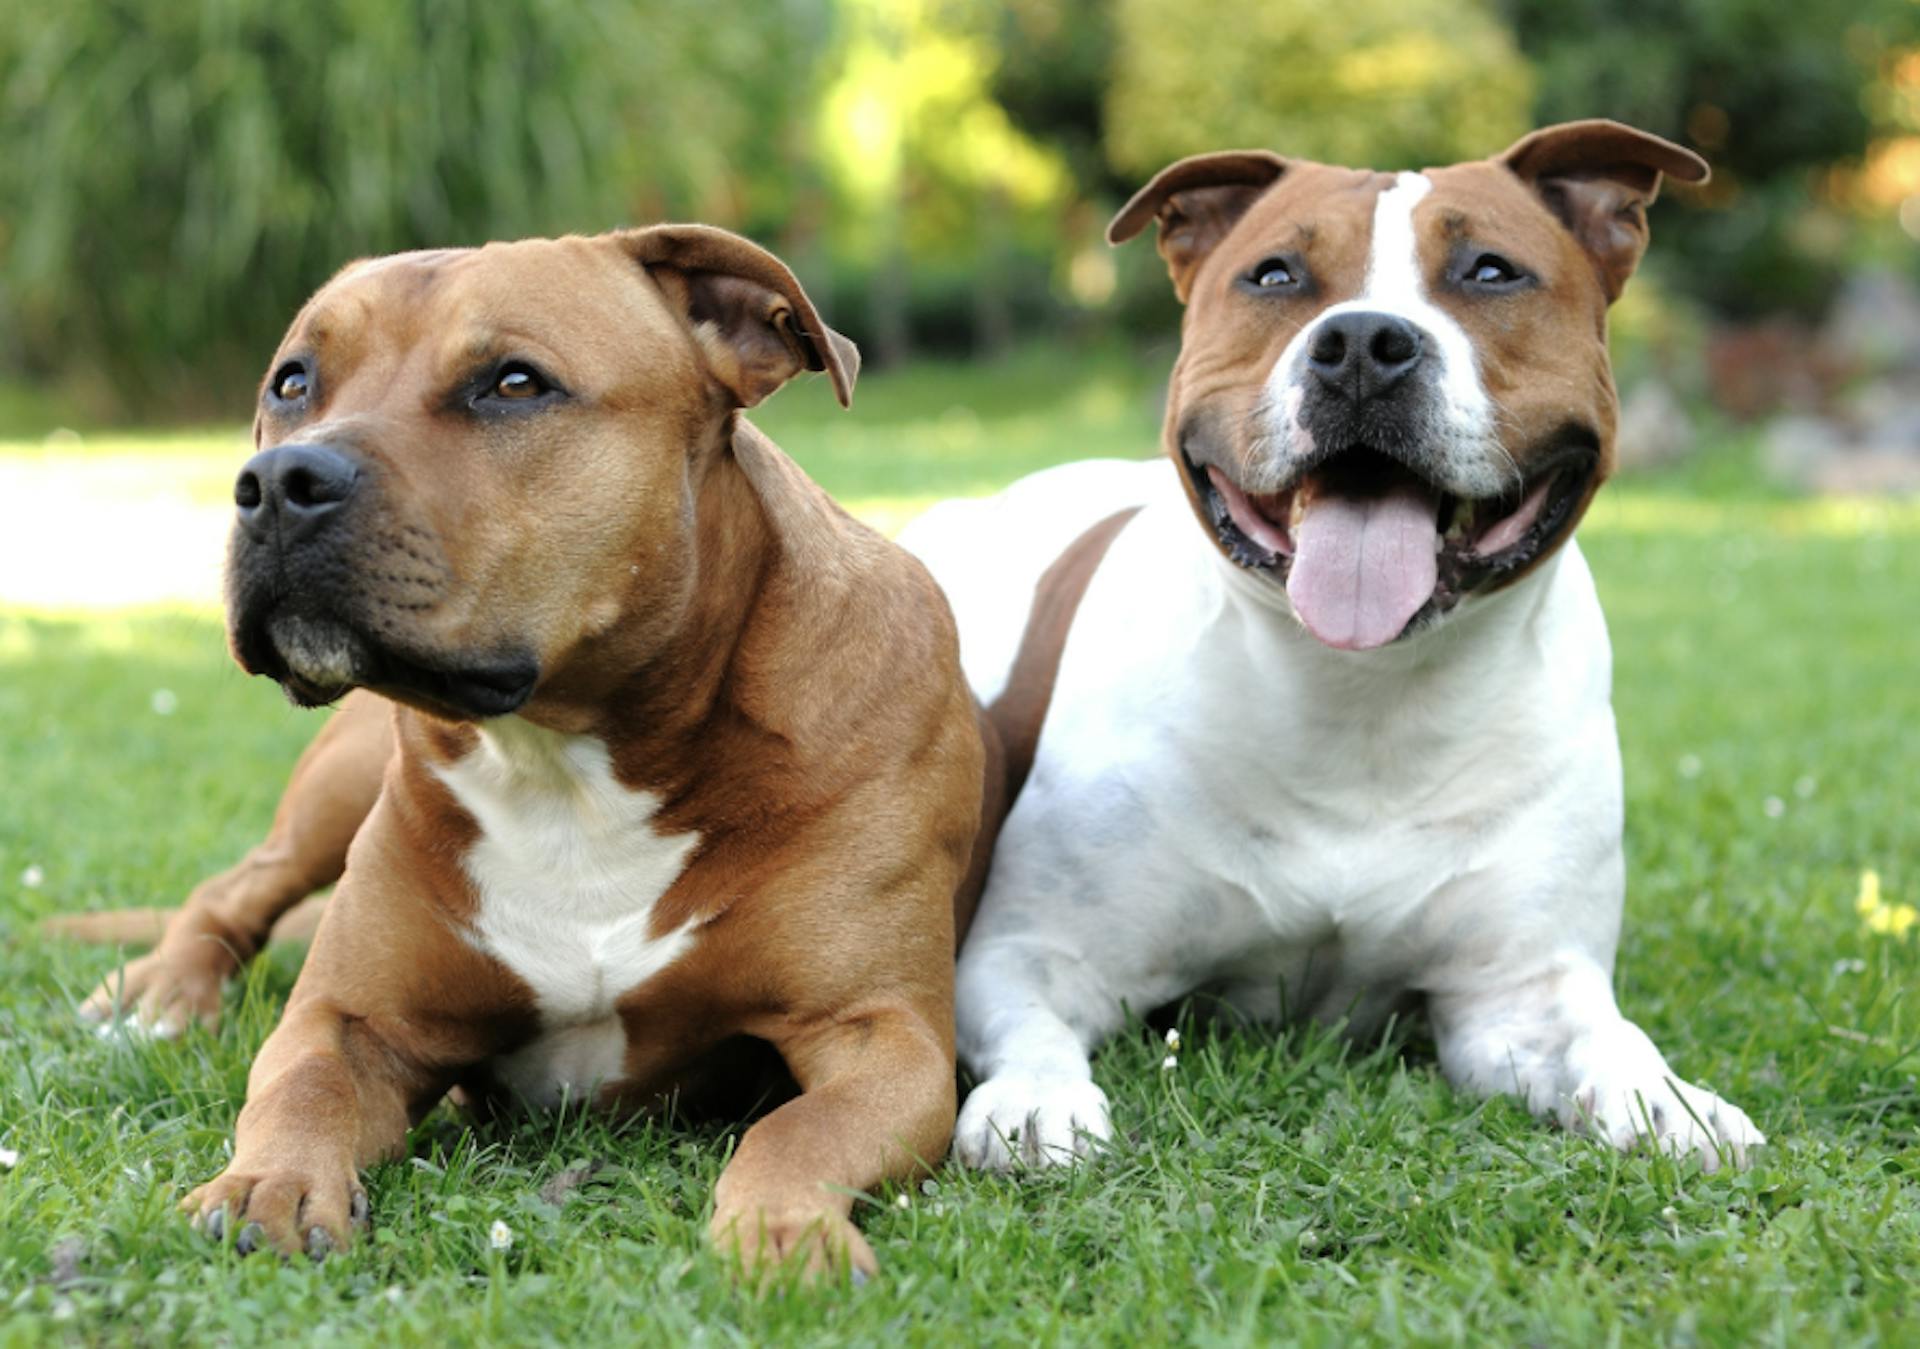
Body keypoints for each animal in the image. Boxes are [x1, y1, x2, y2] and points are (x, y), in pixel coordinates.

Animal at [67, 226, 983, 1281]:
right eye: (293, 382)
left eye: (513, 382)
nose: (277, 485)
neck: (569, 760)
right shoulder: (347, 1017)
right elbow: (302, 1084)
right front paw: (269, 1182)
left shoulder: (885, 1037)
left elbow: (798, 1128)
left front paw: (785, 1231)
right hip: (336, 789)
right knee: (236, 887)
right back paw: (162, 990)